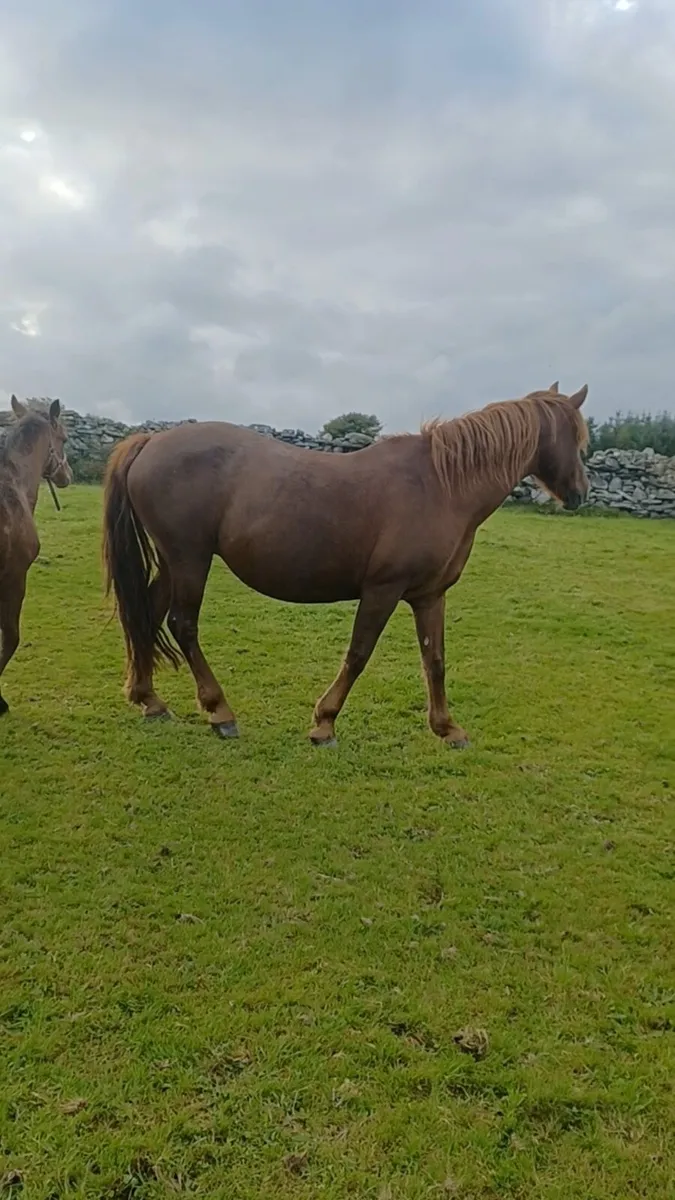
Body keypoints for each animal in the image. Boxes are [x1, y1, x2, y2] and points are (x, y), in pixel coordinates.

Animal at [102, 382, 589, 748]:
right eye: (578, 438)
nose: (581, 493)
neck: (440, 486)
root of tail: (151, 441)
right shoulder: (382, 590)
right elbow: (358, 654)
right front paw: (324, 723)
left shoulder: (429, 596)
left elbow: (435, 660)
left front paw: (447, 728)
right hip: (190, 559)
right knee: (182, 624)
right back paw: (219, 712)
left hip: (175, 562)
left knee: (146, 614)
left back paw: (150, 700)